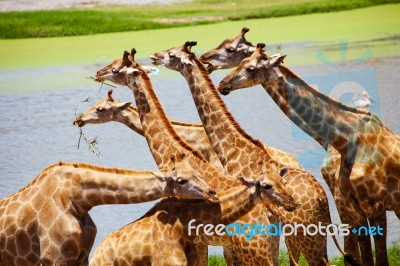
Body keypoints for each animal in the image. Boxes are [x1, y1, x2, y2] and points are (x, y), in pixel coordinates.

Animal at [0, 160, 219, 266]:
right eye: (181, 180)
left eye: (199, 173)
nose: (212, 192)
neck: (78, 200)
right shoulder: (53, 258)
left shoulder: (82, 257)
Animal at [92, 48, 296, 264]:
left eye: (115, 69)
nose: (98, 73)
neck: (172, 151)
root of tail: (271, 214)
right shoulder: (199, 241)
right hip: (270, 244)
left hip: (253, 247)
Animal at [148, 41, 358, 266]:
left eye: (171, 54)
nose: (154, 56)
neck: (234, 150)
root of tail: (321, 198)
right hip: (315, 234)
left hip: (301, 234)